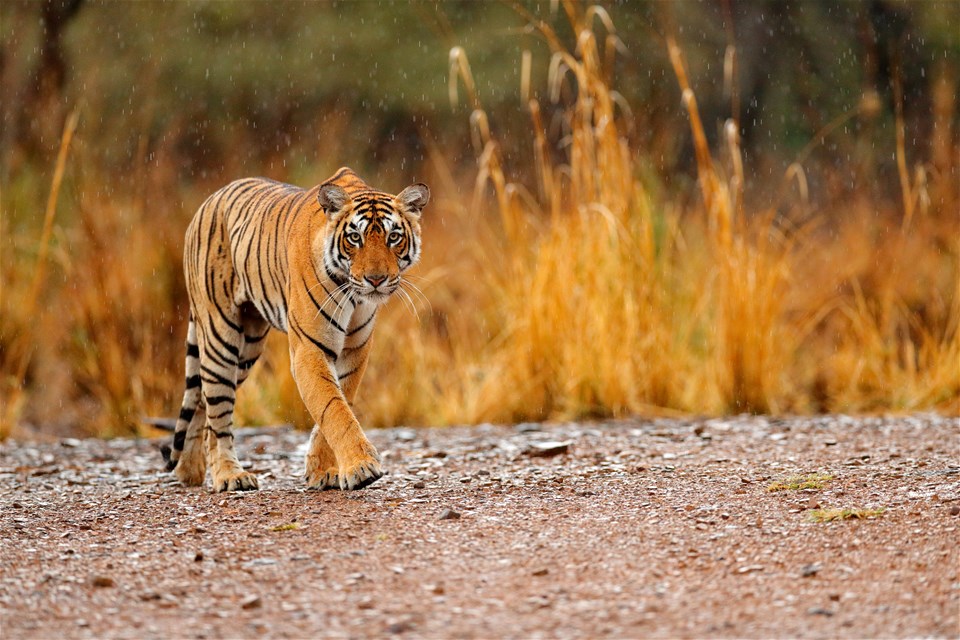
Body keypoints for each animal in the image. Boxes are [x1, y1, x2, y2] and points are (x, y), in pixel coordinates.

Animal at [163, 168, 430, 492]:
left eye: (394, 237)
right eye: (355, 238)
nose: (376, 280)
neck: (354, 296)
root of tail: (207, 201)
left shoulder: (354, 350)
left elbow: (338, 403)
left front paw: (322, 470)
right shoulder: (310, 349)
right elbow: (333, 408)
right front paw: (362, 467)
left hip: (248, 345)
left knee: (203, 400)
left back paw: (190, 471)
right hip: (220, 336)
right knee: (218, 411)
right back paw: (229, 475)